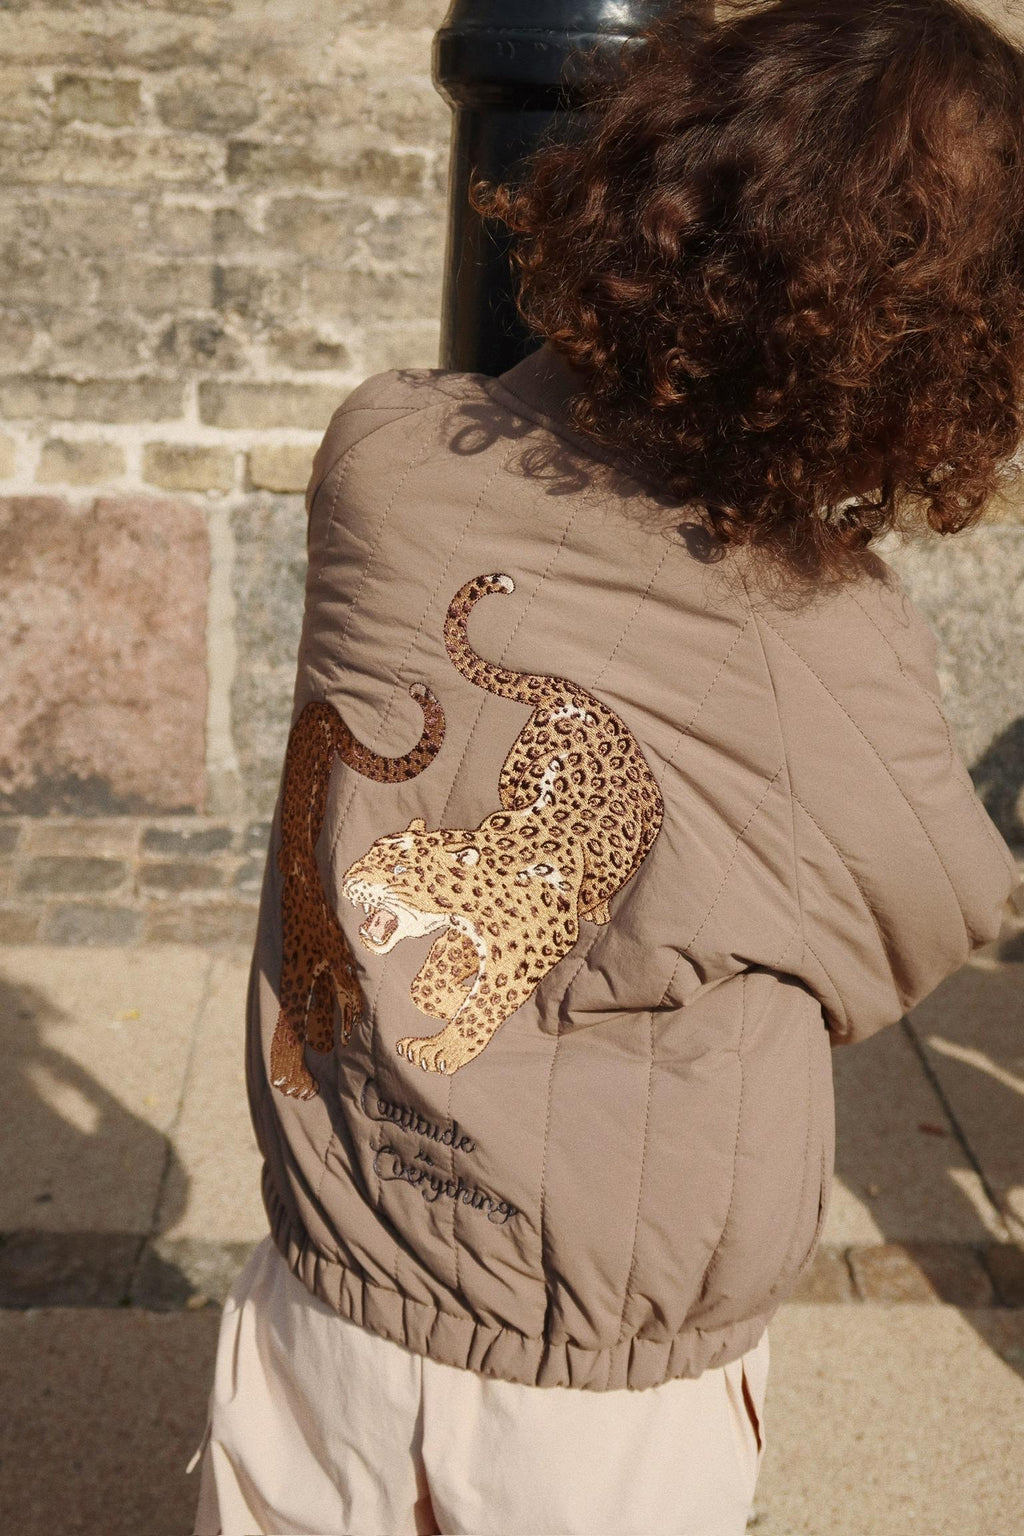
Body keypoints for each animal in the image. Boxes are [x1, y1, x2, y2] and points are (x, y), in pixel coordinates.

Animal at [340, 572, 664, 1076]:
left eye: (398, 871)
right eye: (368, 853)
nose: (348, 880)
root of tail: (574, 693)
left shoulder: (536, 945)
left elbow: (486, 1004)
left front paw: (442, 1048)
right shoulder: (473, 934)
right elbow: (436, 978)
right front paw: (446, 1000)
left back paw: (597, 907)